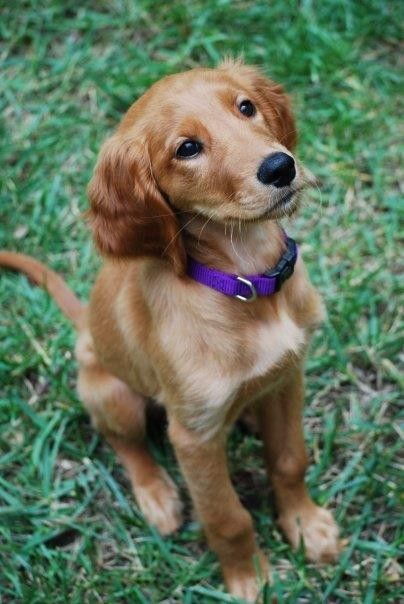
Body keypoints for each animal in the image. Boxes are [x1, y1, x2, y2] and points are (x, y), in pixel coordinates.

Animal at [0, 60, 340, 600]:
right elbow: (227, 518)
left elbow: (290, 460)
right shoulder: (194, 436)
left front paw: (306, 527)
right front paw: (251, 579)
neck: (245, 283)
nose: (279, 167)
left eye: (246, 106)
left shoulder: (289, 375)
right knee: (123, 440)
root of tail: (84, 327)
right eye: (187, 149)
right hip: (111, 392)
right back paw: (156, 493)